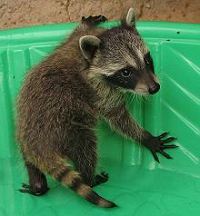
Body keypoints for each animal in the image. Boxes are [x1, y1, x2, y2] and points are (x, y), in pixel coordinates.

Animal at [16, 8, 177, 208]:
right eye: (126, 72)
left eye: (147, 60)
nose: (154, 88)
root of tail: (37, 145)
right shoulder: (99, 91)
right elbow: (117, 118)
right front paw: (145, 137)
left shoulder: (75, 42)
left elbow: (76, 32)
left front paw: (87, 22)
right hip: (68, 127)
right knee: (86, 149)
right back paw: (89, 178)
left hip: (23, 136)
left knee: (32, 164)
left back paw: (37, 185)